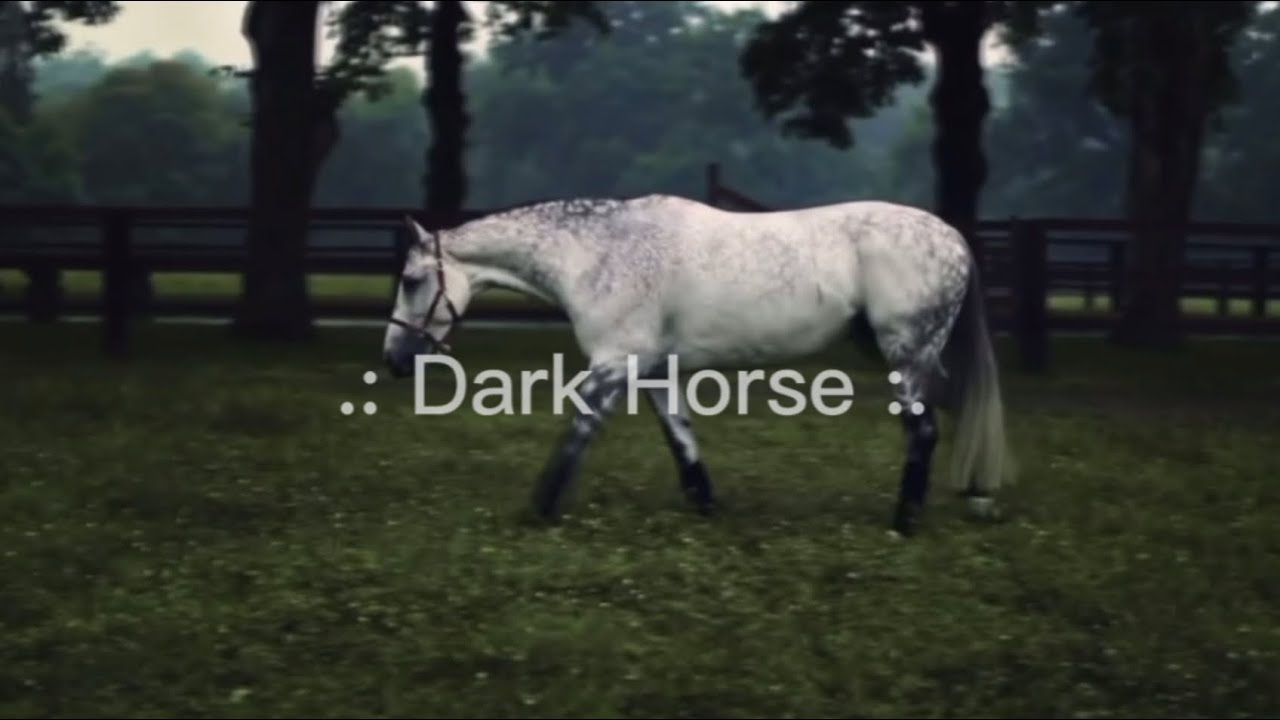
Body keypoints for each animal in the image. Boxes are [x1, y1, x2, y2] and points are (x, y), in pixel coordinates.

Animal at [380, 194, 1013, 536]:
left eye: (410, 281)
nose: (394, 360)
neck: (598, 253)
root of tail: (953, 237)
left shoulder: (613, 365)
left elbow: (577, 433)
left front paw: (540, 508)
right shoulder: (655, 370)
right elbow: (680, 438)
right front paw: (706, 504)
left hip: (906, 354)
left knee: (923, 431)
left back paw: (905, 520)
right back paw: (973, 496)